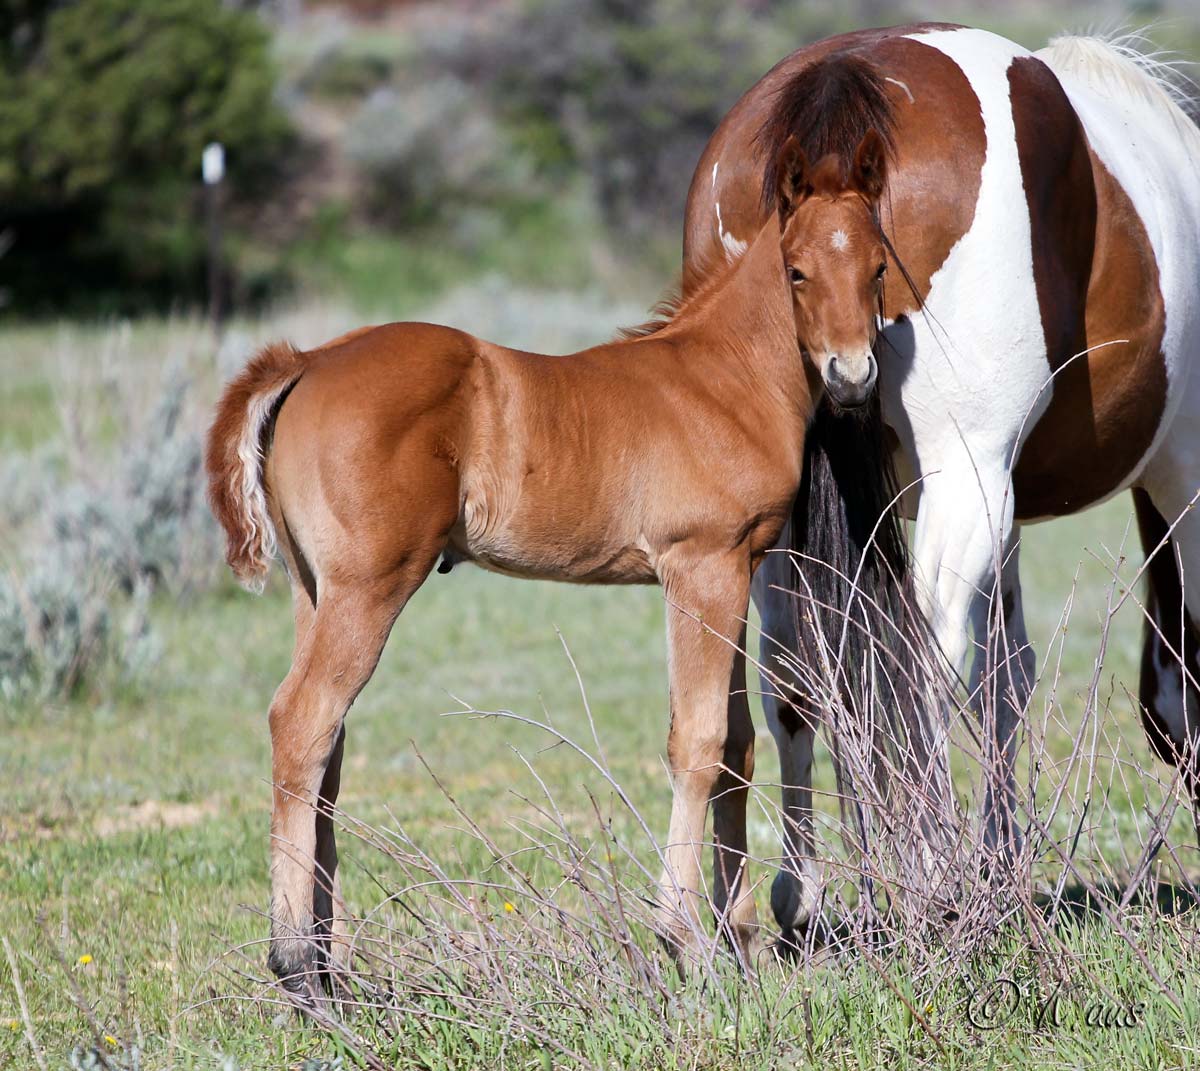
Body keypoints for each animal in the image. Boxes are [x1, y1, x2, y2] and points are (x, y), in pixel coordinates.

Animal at [203, 159, 922, 992]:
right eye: (797, 271)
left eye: (878, 269)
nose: (852, 375)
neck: (722, 378)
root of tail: (308, 361)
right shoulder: (700, 567)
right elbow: (699, 739)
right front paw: (687, 940)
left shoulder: (737, 568)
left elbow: (737, 748)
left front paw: (738, 940)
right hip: (367, 588)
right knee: (303, 720)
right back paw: (296, 966)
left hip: (312, 591)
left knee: (328, 748)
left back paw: (331, 965)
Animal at [682, 24, 1200, 943]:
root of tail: (833, 86)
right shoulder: (1180, 471)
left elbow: (1006, 675)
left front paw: (999, 861)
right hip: (965, 481)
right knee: (921, 658)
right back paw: (931, 879)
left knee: (788, 667)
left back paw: (794, 894)